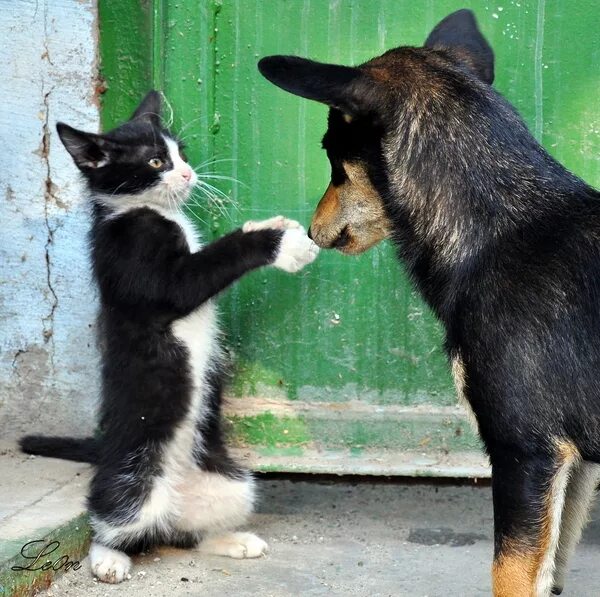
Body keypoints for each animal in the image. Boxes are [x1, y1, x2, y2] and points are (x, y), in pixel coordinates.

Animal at [18, 91, 318, 584]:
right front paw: (281, 242)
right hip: (134, 479)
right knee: (113, 518)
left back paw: (230, 540)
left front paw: (271, 227)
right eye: (157, 161)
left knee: (181, 533)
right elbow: (209, 264)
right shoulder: (144, 270)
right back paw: (108, 559)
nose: (189, 173)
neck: (142, 211)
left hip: (229, 483)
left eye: (182, 153)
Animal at [260, 9, 600, 596]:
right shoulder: (573, 465)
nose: (311, 228)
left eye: (331, 155)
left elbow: (509, 574)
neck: (498, 230)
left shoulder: (525, 451)